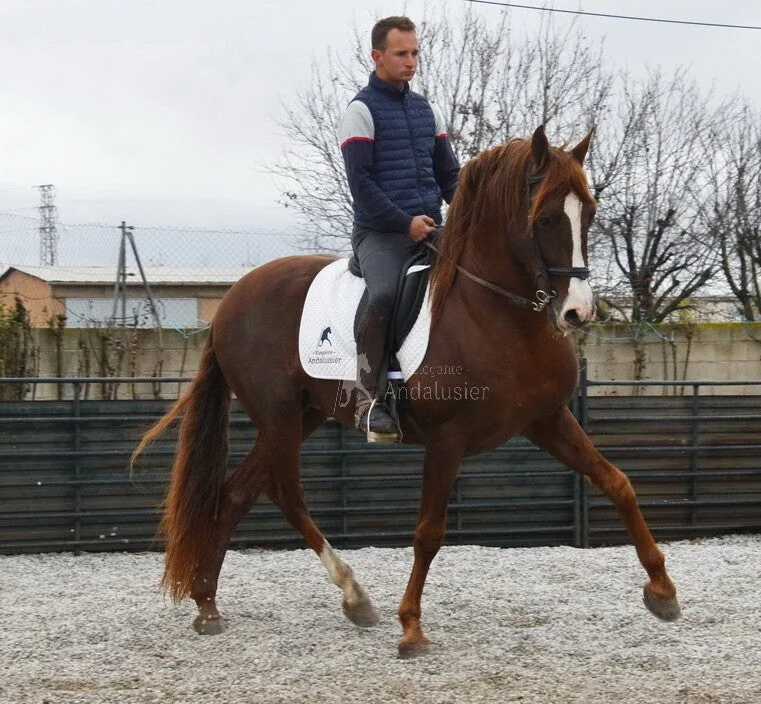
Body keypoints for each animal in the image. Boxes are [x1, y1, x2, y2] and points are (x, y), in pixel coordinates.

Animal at [132, 126, 680, 658]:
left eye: (588, 213)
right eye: (545, 219)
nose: (578, 313)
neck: (496, 314)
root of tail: (232, 300)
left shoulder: (548, 420)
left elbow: (617, 483)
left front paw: (662, 590)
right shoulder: (447, 440)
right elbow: (428, 533)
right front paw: (411, 628)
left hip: (301, 417)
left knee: (236, 495)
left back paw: (208, 606)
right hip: (279, 418)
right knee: (286, 496)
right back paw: (353, 596)